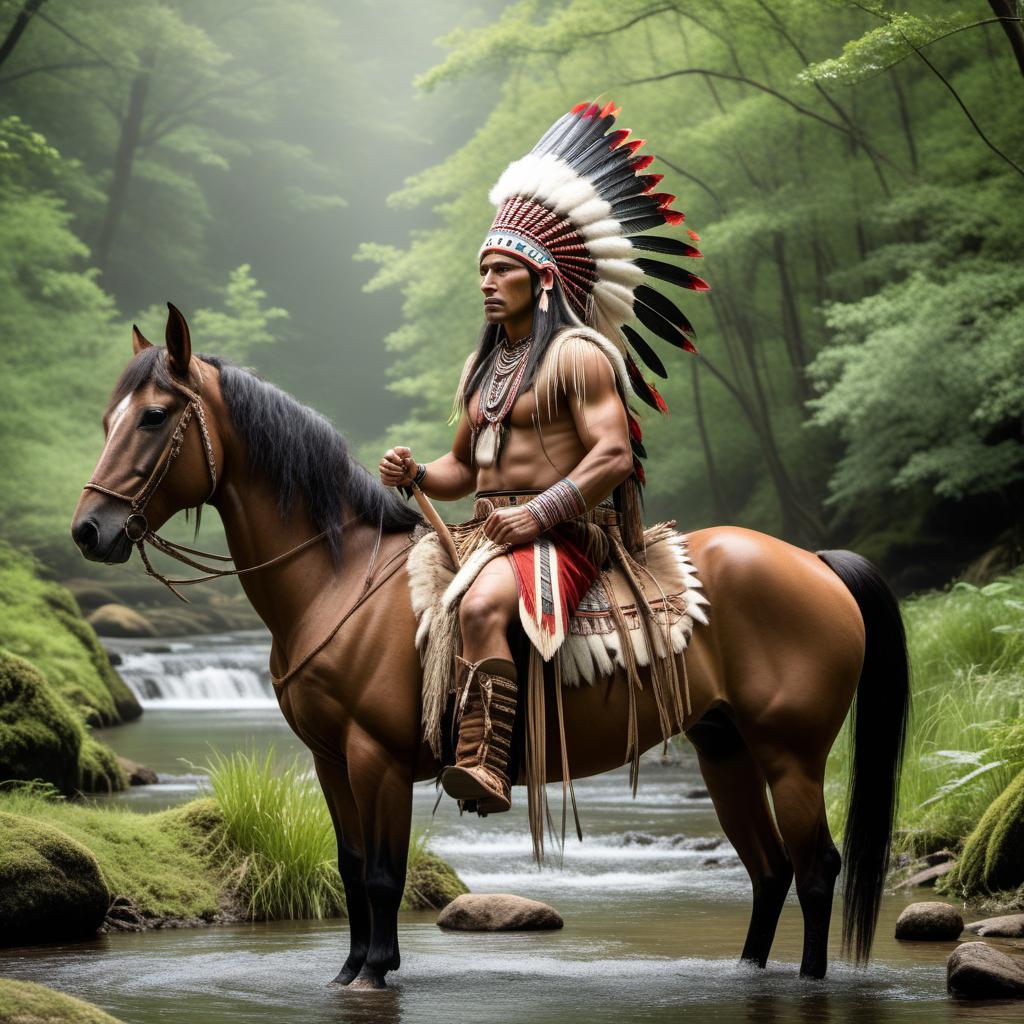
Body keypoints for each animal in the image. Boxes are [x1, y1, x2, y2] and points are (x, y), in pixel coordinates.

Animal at [72, 307, 909, 987]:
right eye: (109, 417)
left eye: (153, 417)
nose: (89, 529)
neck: (337, 579)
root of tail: (814, 561)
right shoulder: (331, 758)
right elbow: (350, 866)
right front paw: (348, 968)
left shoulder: (376, 756)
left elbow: (382, 874)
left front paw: (376, 970)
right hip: (724, 745)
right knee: (768, 869)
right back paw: (746, 972)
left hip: (790, 753)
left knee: (815, 868)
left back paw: (809, 981)